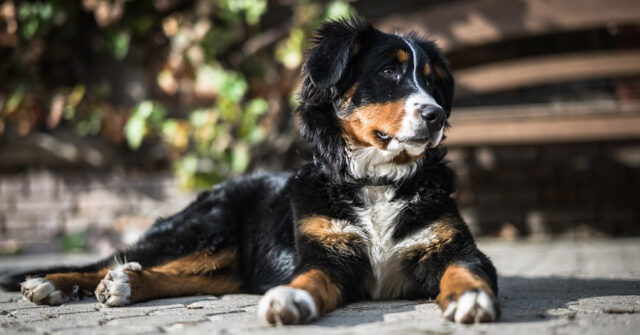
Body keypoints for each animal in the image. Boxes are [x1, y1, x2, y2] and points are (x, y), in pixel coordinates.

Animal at [0, 17, 500, 326]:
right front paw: (291, 299)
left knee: (170, 274)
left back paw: (124, 284)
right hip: (205, 230)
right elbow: (308, 278)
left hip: (225, 261)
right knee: (111, 260)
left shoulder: (455, 247)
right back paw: (51, 283)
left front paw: (469, 298)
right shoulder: (326, 256)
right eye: (390, 73)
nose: (435, 115)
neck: (376, 182)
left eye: (433, 80)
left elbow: (466, 270)